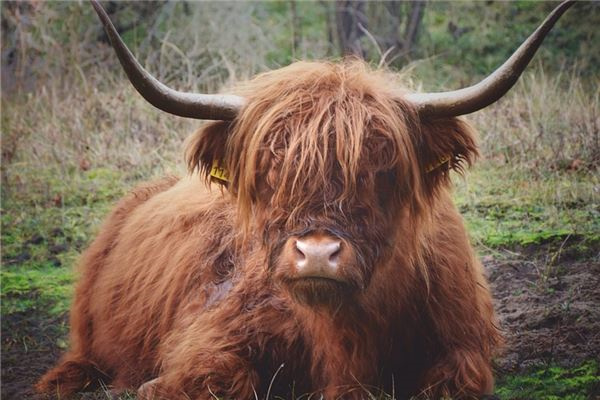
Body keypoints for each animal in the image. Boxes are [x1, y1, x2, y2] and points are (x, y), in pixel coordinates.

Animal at [35, 1, 576, 398]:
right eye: (269, 171)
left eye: (382, 170)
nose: (317, 254)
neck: (348, 338)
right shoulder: (207, 340)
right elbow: (217, 379)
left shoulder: (462, 347)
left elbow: (453, 380)